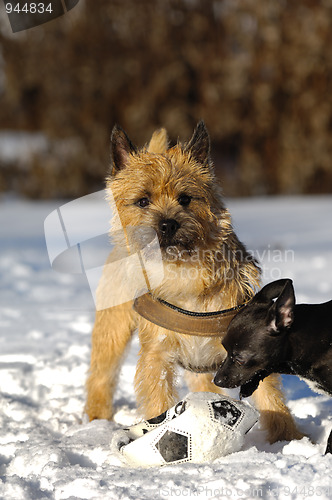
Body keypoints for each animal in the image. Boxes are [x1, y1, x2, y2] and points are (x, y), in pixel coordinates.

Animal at [84, 121, 302, 442]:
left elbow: (270, 398)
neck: (183, 273)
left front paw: (289, 440)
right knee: (101, 373)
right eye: (142, 201)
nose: (167, 224)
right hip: (113, 327)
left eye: (185, 198)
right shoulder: (156, 356)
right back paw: (95, 419)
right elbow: (158, 400)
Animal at [214, 280, 332, 456]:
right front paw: (249, 385)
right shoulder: (289, 362)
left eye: (240, 359)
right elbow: (269, 365)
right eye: (225, 350)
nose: (217, 380)